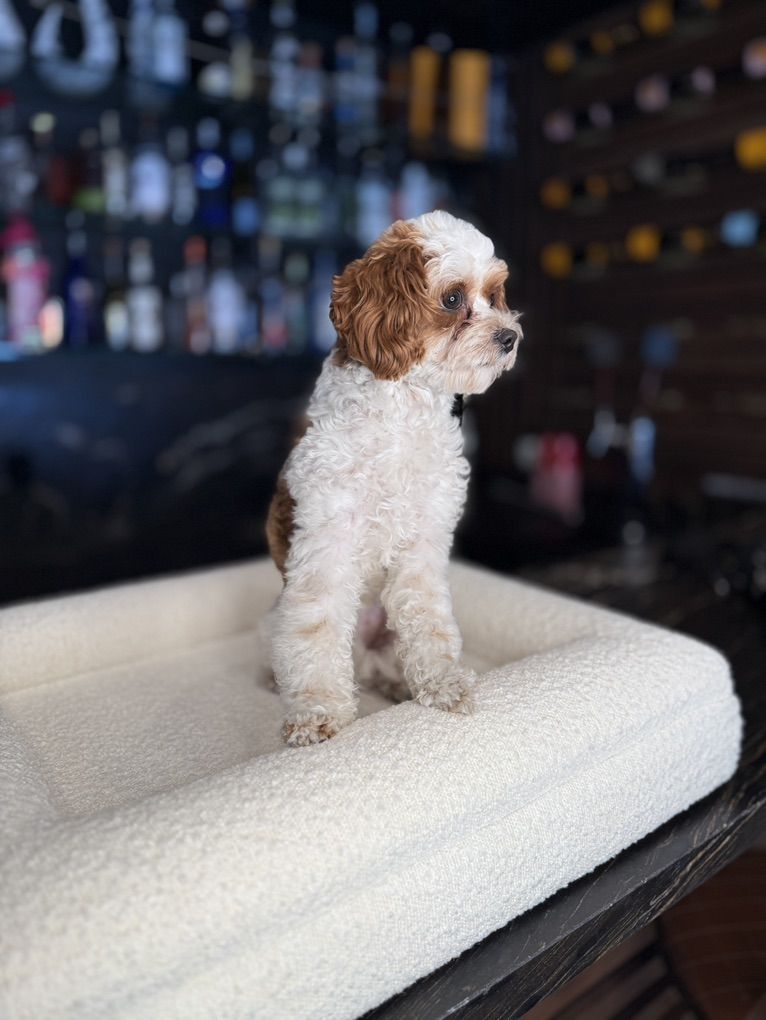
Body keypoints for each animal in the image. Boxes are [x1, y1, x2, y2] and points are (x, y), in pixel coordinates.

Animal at [264, 211, 522, 745]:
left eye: (494, 296)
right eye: (453, 299)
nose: (509, 337)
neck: (402, 412)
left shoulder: (424, 545)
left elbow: (429, 620)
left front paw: (441, 684)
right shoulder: (325, 546)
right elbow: (315, 630)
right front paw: (316, 712)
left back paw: (398, 686)